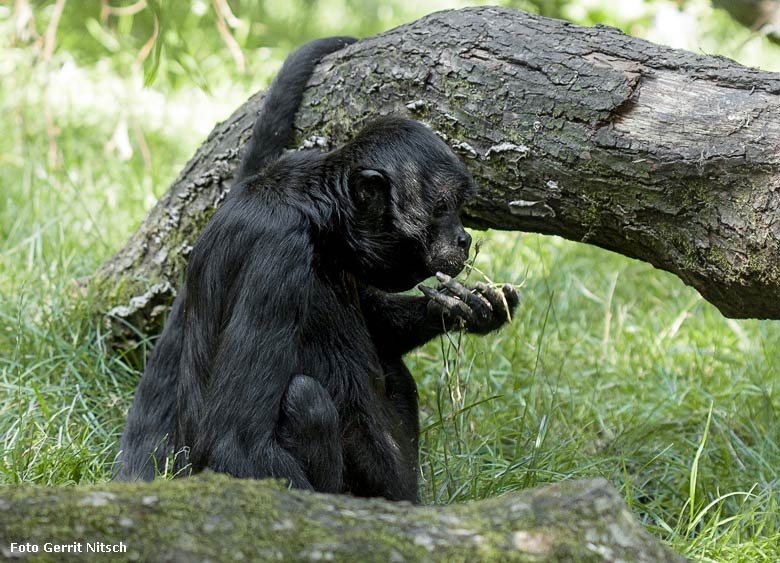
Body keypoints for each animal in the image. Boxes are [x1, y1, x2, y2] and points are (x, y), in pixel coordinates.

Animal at [116, 36, 516, 502]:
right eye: (442, 209)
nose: (463, 238)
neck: (315, 213)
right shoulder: (279, 257)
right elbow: (235, 442)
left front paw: (466, 309)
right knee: (305, 398)